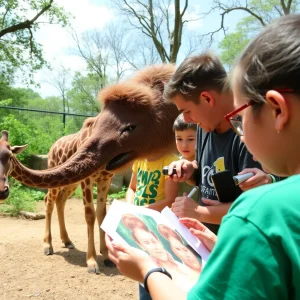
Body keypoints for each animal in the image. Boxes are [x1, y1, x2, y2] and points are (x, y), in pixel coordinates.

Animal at [43, 116, 115, 274]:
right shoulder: (87, 180)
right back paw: (47, 246)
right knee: (48, 202)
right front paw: (92, 263)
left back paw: (67, 241)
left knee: (60, 200)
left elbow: (102, 214)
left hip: (71, 183)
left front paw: (107, 257)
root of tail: (52, 147)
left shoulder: (105, 180)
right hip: (55, 179)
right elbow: (90, 215)